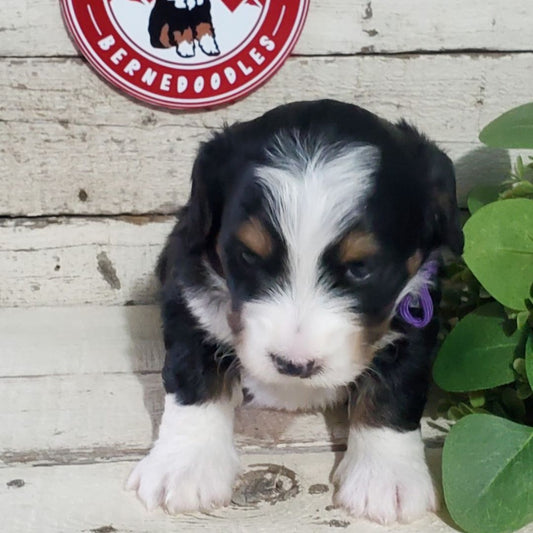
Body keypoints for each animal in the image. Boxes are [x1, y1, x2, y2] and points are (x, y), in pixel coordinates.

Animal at [127, 100, 464, 524]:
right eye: (248, 255)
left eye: (361, 268)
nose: (293, 365)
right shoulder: (188, 289)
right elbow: (193, 375)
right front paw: (185, 466)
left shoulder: (415, 306)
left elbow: (396, 388)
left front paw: (387, 478)